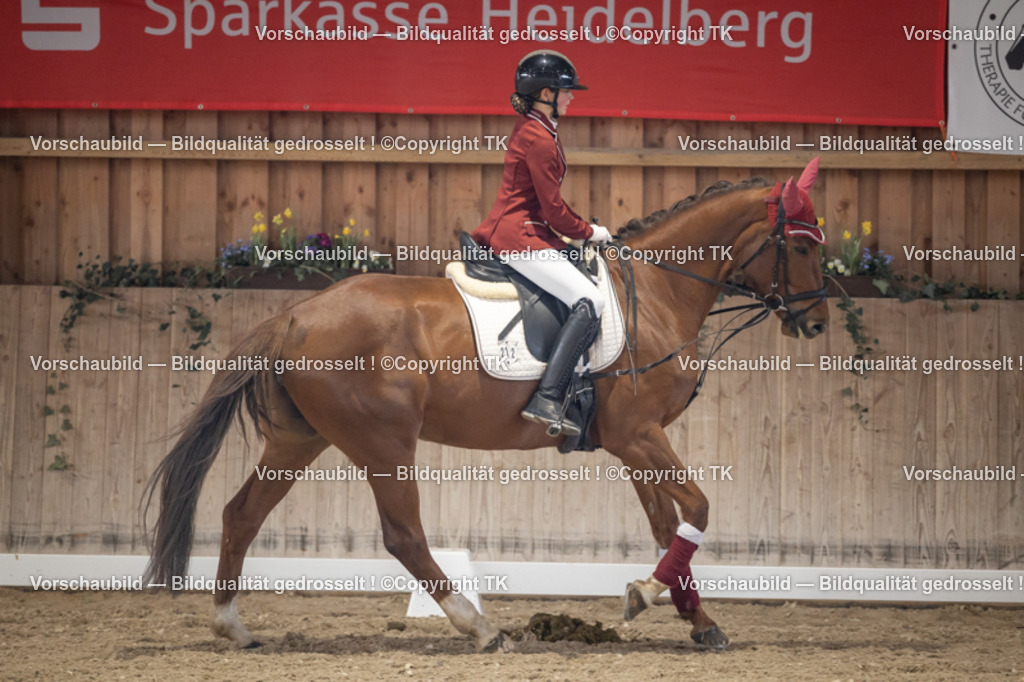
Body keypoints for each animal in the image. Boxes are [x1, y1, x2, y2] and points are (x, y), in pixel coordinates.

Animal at [143, 159, 829, 653]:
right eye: (800, 247)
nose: (818, 323)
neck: (658, 293)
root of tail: (293, 314)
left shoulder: (637, 441)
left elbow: (670, 526)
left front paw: (695, 619)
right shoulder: (639, 435)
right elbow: (700, 509)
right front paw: (644, 593)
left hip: (300, 439)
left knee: (241, 515)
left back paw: (232, 626)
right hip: (382, 442)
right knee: (404, 536)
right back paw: (479, 627)